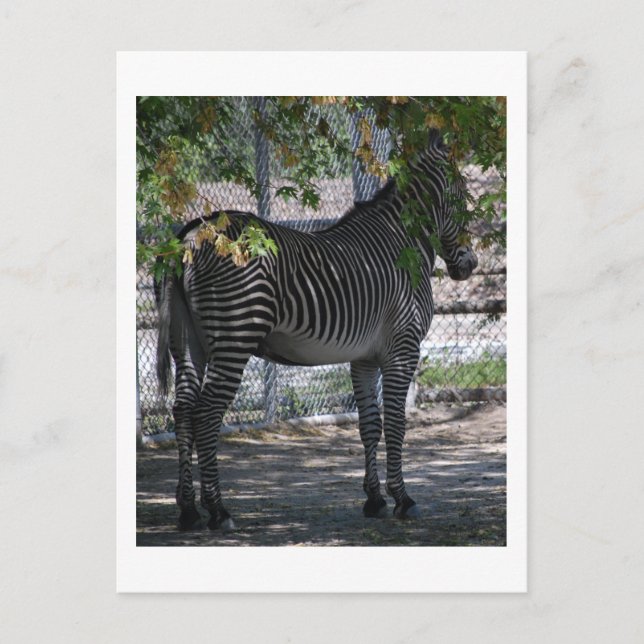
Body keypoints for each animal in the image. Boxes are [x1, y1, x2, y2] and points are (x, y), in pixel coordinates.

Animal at [155, 130, 478, 531]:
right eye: (464, 199)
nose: (470, 265)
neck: (402, 242)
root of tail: (191, 234)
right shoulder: (403, 349)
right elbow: (396, 423)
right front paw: (403, 499)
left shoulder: (364, 358)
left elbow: (369, 424)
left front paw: (374, 500)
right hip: (234, 337)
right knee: (206, 414)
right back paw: (218, 511)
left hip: (188, 342)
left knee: (183, 410)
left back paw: (188, 510)